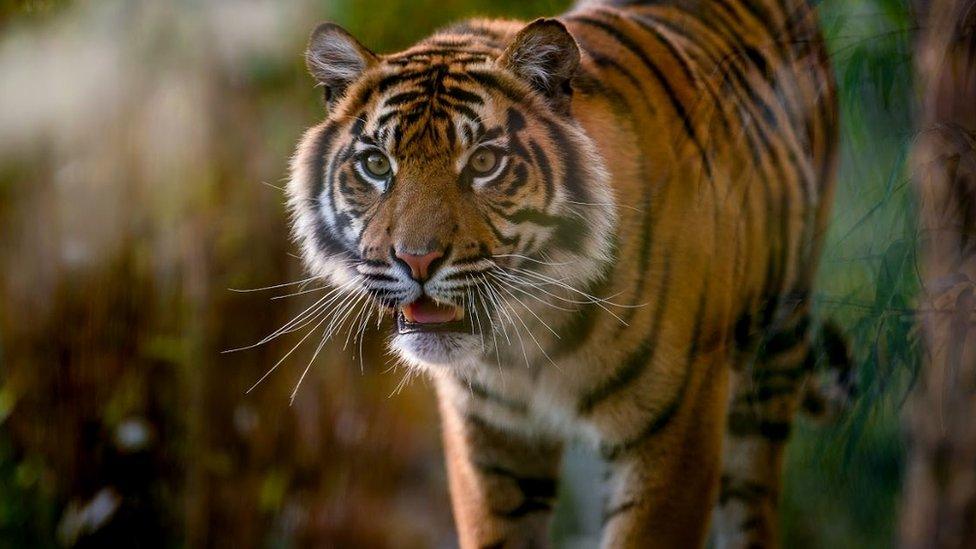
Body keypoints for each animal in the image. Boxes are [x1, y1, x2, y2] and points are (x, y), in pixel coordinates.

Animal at [286, 0, 852, 544]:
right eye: (377, 165)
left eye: (485, 162)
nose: (417, 259)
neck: (524, 342)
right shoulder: (489, 440)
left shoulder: (678, 424)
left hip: (771, 362)